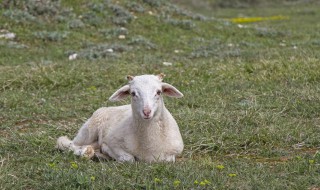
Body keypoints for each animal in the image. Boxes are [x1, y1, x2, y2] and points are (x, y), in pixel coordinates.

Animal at [56, 73, 184, 162]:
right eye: (133, 93)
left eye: (159, 92)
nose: (147, 112)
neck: (149, 146)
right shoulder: (112, 142)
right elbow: (129, 158)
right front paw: (106, 152)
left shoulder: (174, 152)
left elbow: (168, 159)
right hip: (88, 131)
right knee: (67, 143)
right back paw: (85, 152)